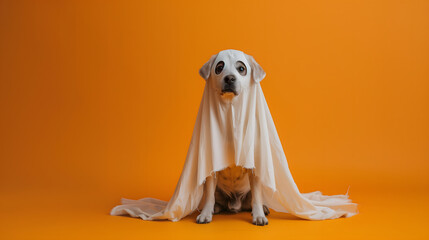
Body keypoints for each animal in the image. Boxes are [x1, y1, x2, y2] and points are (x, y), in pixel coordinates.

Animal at [196, 49, 270, 226]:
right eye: (219, 67)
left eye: (241, 69)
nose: (229, 78)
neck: (231, 113)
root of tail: (235, 204)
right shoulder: (211, 166)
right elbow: (209, 195)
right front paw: (206, 213)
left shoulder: (254, 167)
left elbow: (257, 197)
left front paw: (259, 215)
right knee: (214, 198)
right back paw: (213, 208)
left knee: (253, 199)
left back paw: (261, 208)